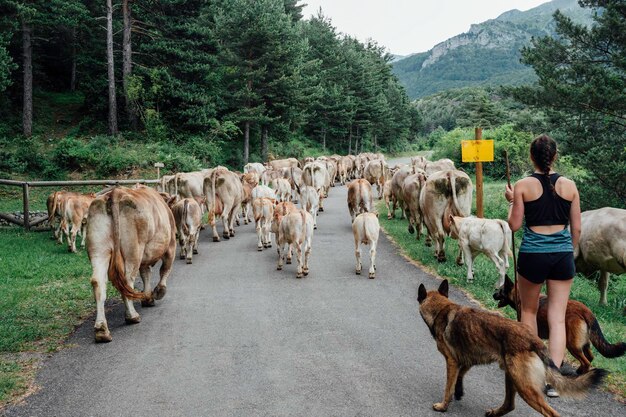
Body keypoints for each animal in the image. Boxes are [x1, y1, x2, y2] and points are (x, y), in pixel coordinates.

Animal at [85, 185, 176, 342]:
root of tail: (115, 193)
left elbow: (146, 274)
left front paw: (147, 297)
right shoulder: (171, 245)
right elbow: (164, 269)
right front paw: (158, 292)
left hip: (99, 248)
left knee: (98, 282)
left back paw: (102, 330)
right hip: (134, 249)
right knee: (128, 279)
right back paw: (132, 316)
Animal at [414, 280, 604, 416]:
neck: (441, 308)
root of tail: (532, 339)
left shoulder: (452, 362)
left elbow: (448, 387)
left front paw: (443, 406)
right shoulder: (467, 360)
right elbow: (459, 377)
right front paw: (459, 392)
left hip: (524, 386)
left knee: (550, 412)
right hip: (512, 376)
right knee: (509, 405)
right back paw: (494, 413)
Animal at [492, 274, 624, 372]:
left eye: (500, 290)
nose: (493, 294)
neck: (519, 296)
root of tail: (585, 310)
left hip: (572, 345)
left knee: (586, 362)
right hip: (583, 343)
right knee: (591, 357)